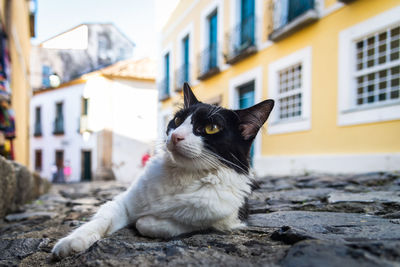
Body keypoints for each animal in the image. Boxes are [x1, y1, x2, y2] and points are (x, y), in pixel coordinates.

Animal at [51, 84, 274, 260]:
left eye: (211, 127)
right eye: (177, 120)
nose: (175, 136)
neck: (183, 175)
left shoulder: (228, 220)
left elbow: (163, 224)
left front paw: (145, 220)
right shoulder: (123, 202)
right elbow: (101, 219)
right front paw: (72, 241)